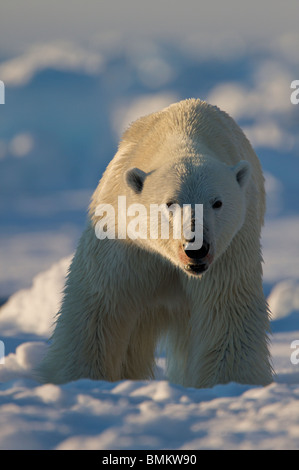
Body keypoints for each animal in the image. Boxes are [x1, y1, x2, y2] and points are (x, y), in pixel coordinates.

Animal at [37, 98, 274, 386]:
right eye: (170, 203)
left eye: (217, 202)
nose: (196, 248)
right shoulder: (125, 240)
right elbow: (99, 308)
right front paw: (80, 378)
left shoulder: (229, 249)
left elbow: (227, 312)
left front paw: (230, 383)